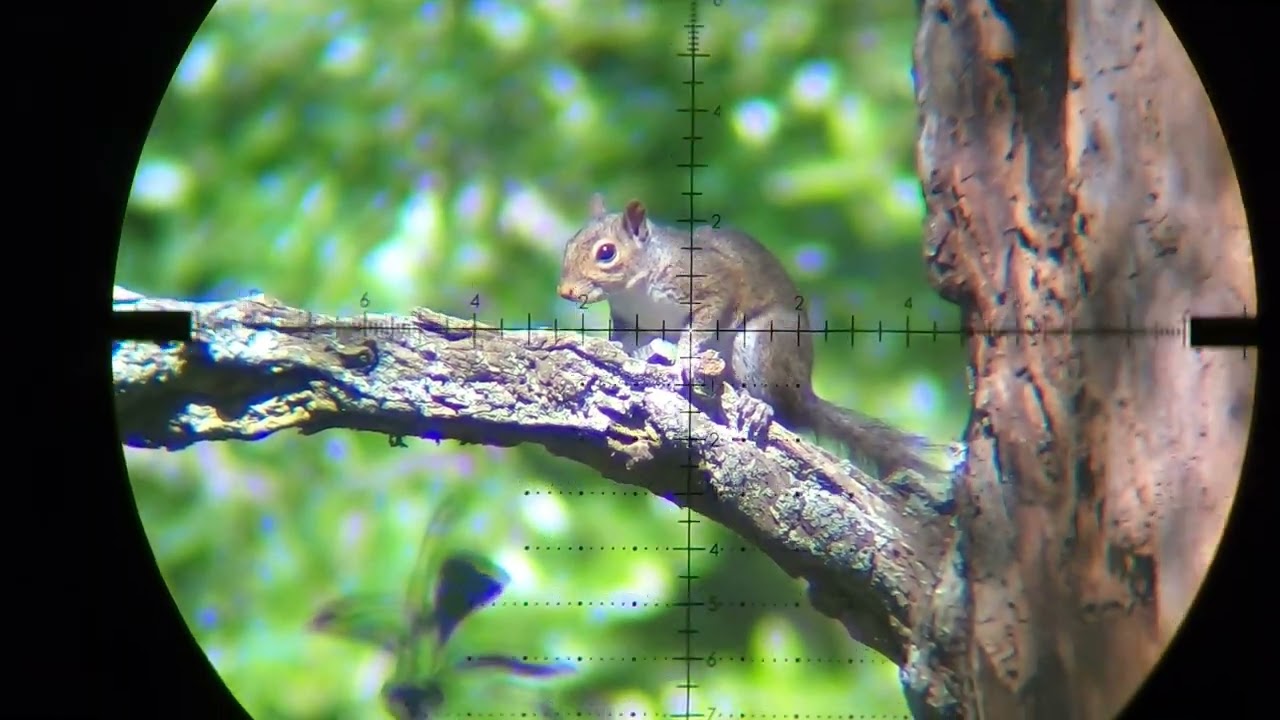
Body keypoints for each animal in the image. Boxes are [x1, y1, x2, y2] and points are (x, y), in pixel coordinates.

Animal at [556, 194, 942, 477]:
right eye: (568, 246)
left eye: (606, 252)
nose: (564, 292)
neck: (636, 288)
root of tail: (805, 392)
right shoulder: (629, 323)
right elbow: (625, 344)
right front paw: (639, 353)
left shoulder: (711, 284)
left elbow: (703, 323)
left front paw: (684, 359)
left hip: (764, 341)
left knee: (778, 405)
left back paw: (758, 406)